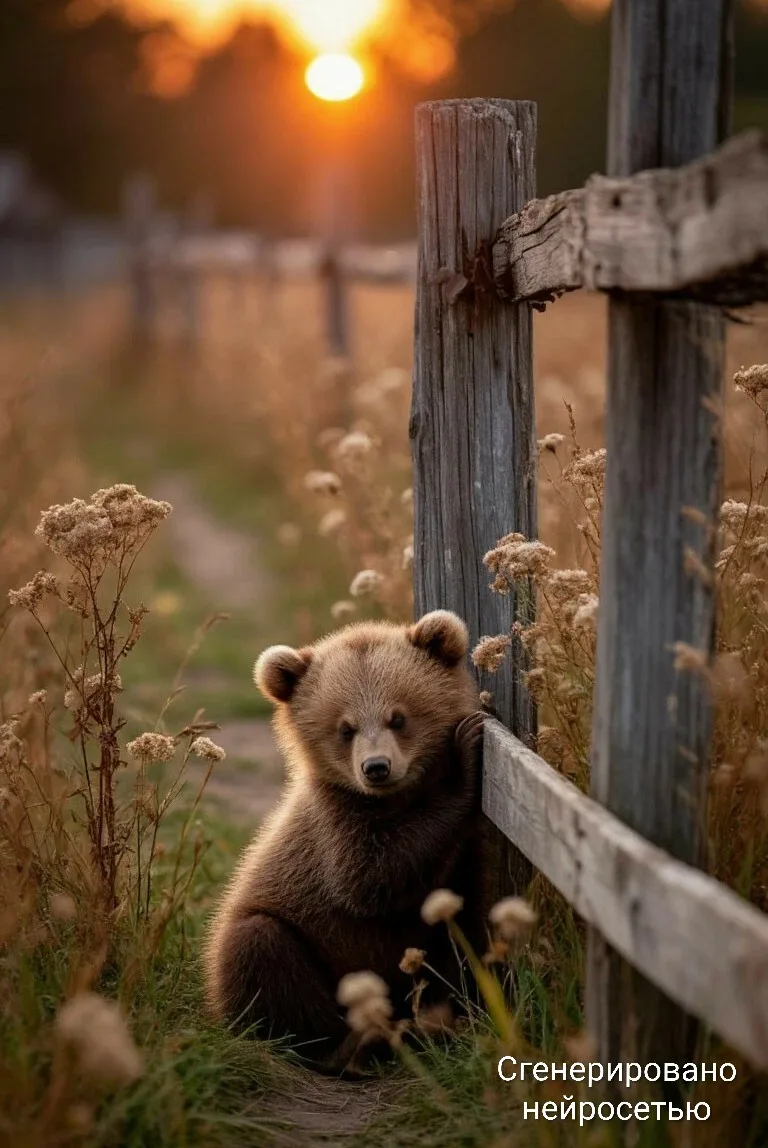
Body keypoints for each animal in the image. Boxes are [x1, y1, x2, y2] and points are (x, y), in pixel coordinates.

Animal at [203, 609, 488, 1073]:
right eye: (345, 728)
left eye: (398, 717)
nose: (376, 767)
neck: (391, 801)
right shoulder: (335, 827)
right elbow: (370, 880)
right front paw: (463, 759)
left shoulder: (457, 867)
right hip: (296, 941)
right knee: (261, 951)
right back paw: (352, 1046)